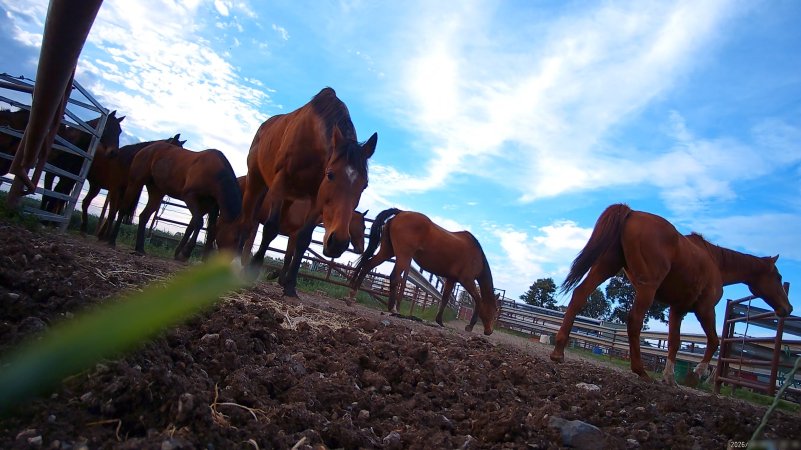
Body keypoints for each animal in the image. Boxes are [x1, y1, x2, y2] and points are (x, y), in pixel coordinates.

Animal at [106, 141, 242, 262]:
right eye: (235, 238)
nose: (228, 261)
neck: (215, 173)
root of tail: (146, 149)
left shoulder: (210, 206)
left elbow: (207, 229)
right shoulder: (190, 197)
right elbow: (198, 223)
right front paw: (185, 253)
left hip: (157, 192)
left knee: (144, 216)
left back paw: (140, 248)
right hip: (135, 183)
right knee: (123, 209)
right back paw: (112, 240)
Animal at [216, 176, 368, 285]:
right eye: (364, 227)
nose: (361, 249)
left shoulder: (292, 236)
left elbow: (289, 256)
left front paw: (278, 277)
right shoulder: (294, 235)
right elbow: (289, 257)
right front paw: (279, 278)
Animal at [236, 87, 377, 297]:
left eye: (364, 185)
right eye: (330, 175)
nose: (338, 243)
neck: (312, 142)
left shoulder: (315, 199)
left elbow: (303, 240)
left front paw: (290, 285)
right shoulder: (280, 182)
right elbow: (270, 229)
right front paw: (253, 271)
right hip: (256, 181)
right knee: (246, 224)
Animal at [348, 208, 501, 336]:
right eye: (494, 311)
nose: (489, 331)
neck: (477, 256)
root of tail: (401, 212)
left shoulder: (451, 279)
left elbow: (445, 299)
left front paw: (439, 321)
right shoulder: (466, 280)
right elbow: (478, 300)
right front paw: (470, 326)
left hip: (387, 251)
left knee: (367, 266)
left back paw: (353, 294)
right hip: (404, 256)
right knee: (394, 277)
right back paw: (392, 309)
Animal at [550, 203, 793, 385]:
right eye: (778, 276)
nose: (788, 308)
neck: (716, 262)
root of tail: (631, 212)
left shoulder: (678, 309)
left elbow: (675, 342)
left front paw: (669, 378)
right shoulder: (705, 309)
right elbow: (714, 341)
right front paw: (696, 373)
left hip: (605, 267)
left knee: (579, 295)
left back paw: (558, 352)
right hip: (646, 287)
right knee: (634, 321)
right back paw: (640, 370)